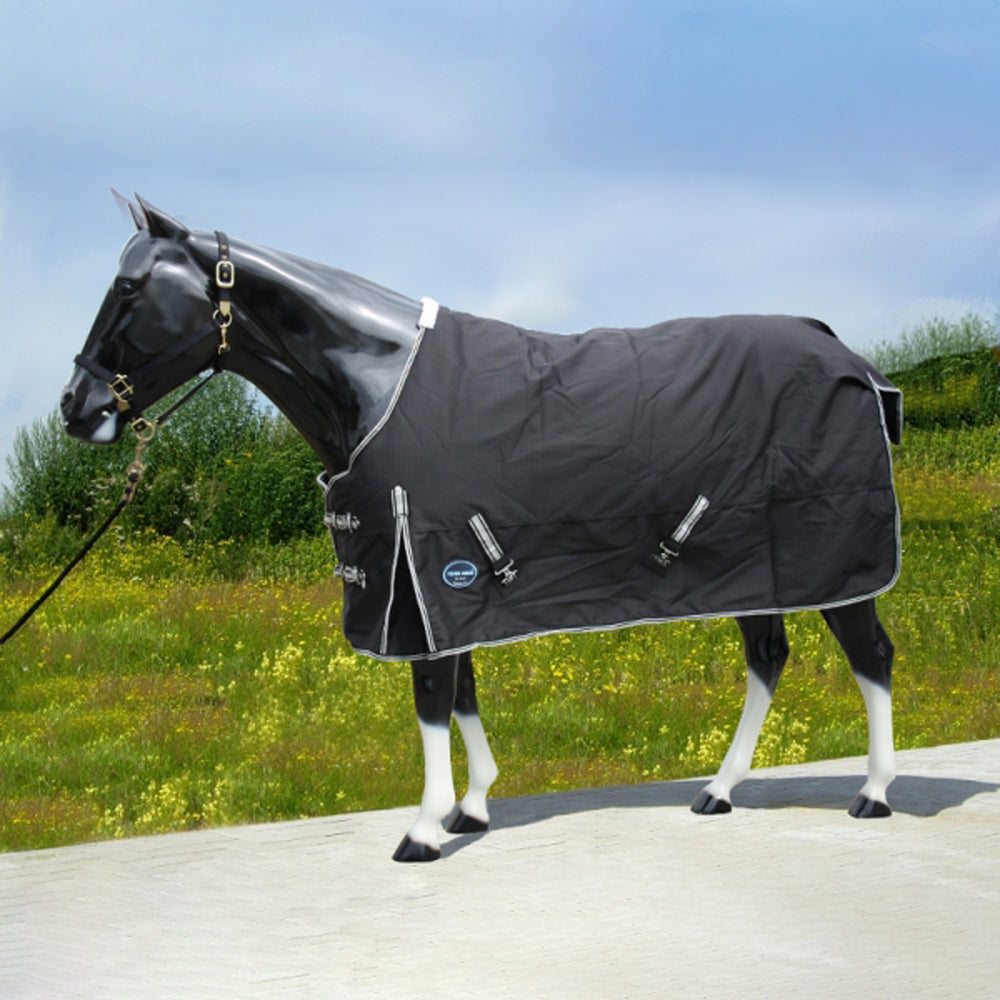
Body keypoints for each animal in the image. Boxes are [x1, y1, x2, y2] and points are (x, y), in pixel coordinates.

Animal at [61, 196, 900, 862]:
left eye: (131, 287)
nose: (77, 406)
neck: (376, 384)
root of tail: (846, 352)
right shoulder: (434, 586)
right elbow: (462, 691)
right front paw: (470, 809)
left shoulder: (424, 572)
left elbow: (434, 698)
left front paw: (424, 829)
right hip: (754, 568)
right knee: (768, 659)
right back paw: (720, 789)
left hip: (837, 564)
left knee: (872, 656)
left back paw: (874, 793)